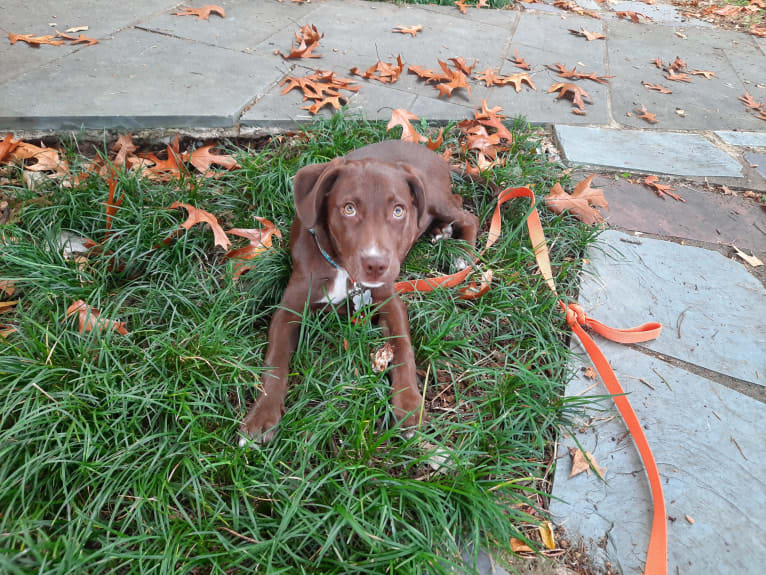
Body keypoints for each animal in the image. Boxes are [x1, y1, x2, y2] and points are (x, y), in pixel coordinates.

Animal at [240, 140, 480, 446]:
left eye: (398, 211)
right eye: (349, 209)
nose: (376, 265)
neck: (343, 270)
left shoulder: (390, 300)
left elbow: (403, 348)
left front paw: (409, 406)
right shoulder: (289, 308)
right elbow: (275, 360)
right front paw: (262, 415)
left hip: (435, 195)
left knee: (467, 213)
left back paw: (463, 253)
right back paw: (440, 231)